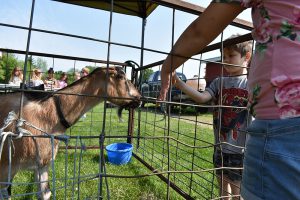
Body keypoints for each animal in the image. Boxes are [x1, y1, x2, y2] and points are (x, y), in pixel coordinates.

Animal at [0, 67, 141, 198]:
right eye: (121, 77)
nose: (140, 98)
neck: (51, 113)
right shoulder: (6, 168)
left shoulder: (42, 165)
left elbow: (45, 193)